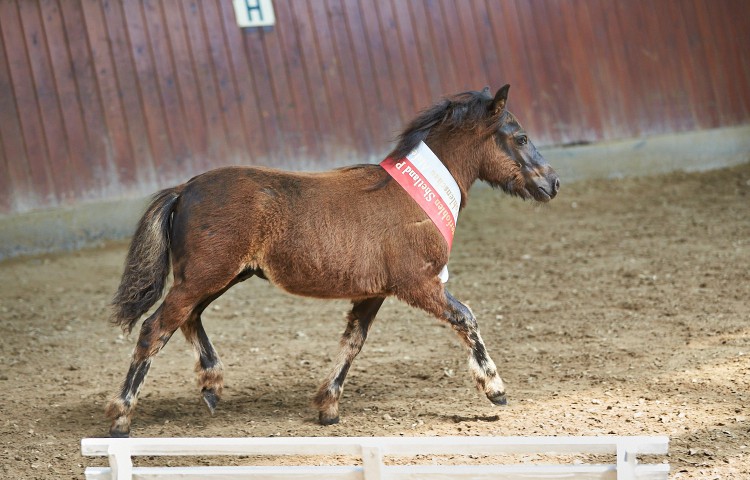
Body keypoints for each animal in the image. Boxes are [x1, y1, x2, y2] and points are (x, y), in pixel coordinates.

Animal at [105, 85, 560, 437]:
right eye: (520, 137)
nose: (552, 183)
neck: (415, 196)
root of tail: (184, 189)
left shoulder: (375, 292)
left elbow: (352, 342)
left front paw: (328, 407)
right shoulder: (420, 284)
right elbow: (466, 317)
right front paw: (495, 388)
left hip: (219, 277)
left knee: (187, 320)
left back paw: (212, 387)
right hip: (205, 276)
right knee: (155, 329)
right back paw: (121, 417)